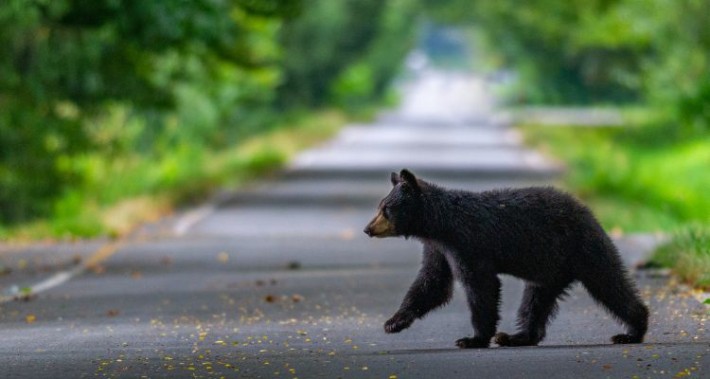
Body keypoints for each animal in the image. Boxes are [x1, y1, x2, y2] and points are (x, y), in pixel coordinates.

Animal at [368, 171, 652, 348]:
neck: (439, 224)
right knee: (536, 300)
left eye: (386, 209)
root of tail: (588, 212)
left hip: (583, 248)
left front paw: (473, 339)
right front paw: (394, 322)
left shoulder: (467, 243)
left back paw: (633, 331)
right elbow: (432, 283)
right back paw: (519, 336)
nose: (367, 229)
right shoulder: (438, 248)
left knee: (608, 282)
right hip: (550, 269)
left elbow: (480, 286)